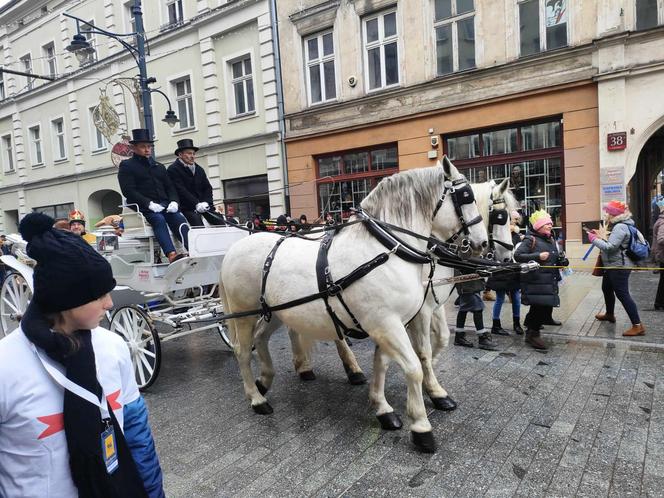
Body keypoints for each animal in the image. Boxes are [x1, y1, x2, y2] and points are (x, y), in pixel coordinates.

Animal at [220, 158, 486, 454]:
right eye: (467, 196)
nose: (482, 243)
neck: (384, 250)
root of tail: (237, 246)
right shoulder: (387, 324)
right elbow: (414, 367)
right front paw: (421, 426)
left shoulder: (392, 323)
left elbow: (385, 363)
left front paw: (383, 408)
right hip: (243, 314)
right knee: (243, 351)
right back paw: (257, 398)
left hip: (276, 312)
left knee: (261, 338)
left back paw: (265, 380)